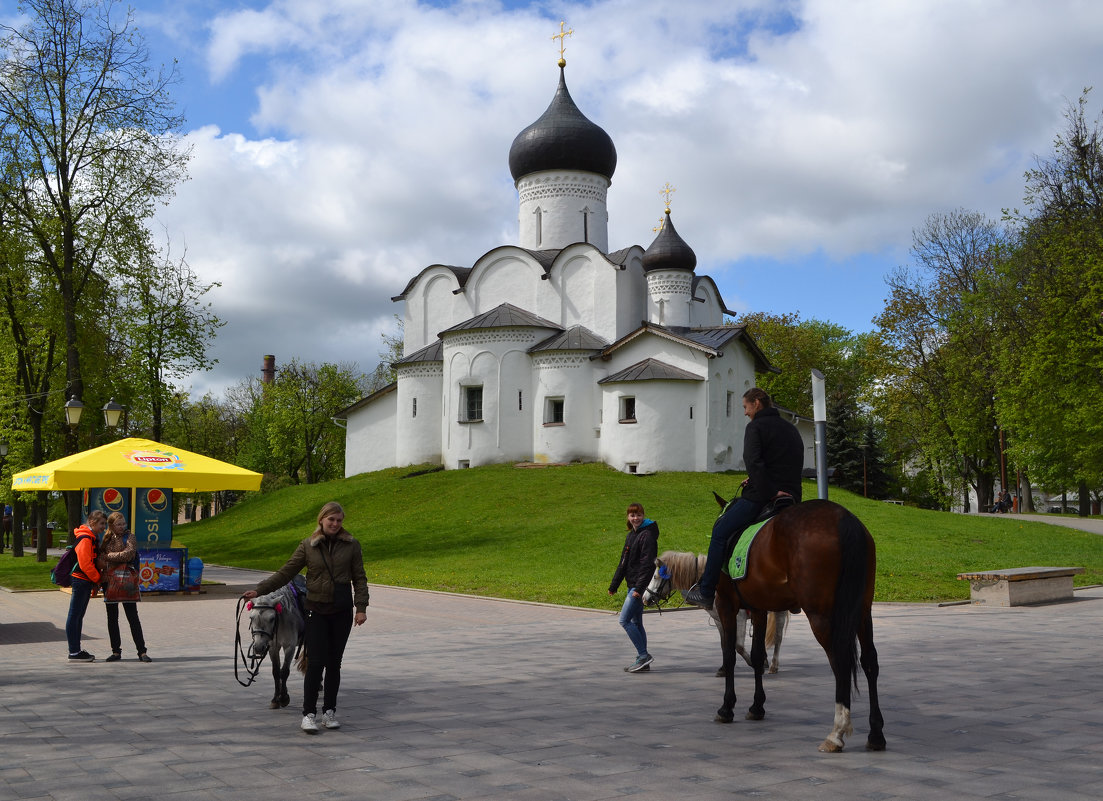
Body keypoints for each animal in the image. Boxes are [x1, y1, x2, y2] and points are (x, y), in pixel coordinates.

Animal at [648, 496, 882, 754]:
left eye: (657, 575)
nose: (645, 598)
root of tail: (843, 519)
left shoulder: (729, 609)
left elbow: (731, 651)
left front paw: (727, 706)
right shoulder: (758, 609)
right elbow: (756, 653)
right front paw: (756, 705)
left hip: (822, 614)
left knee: (839, 662)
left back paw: (836, 732)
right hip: (861, 609)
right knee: (869, 661)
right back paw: (876, 733)